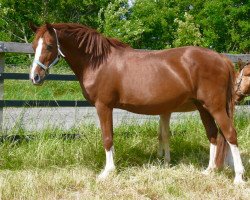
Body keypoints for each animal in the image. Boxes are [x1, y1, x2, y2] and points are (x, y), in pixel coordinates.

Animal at [29, 22, 244, 184]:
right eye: (33, 46)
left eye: (49, 46)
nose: (34, 77)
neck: (98, 62)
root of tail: (222, 58)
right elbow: (111, 137)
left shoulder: (103, 106)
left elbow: (107, 138)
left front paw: (107, 172)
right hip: (203, 107)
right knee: (213, 135)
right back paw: (209, 170)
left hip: (216, 108)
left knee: (230, 135)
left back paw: (239, 178)